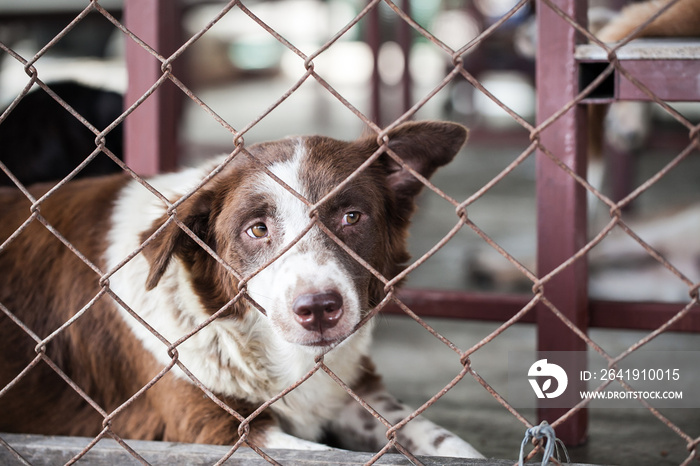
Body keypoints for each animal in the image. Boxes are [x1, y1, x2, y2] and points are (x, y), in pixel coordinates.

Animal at [0, 121, 482, 458]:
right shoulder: (208, 426)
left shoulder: (356, 390)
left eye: (351, 217)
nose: (319, 308)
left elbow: (447, 442)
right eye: (257, 229)